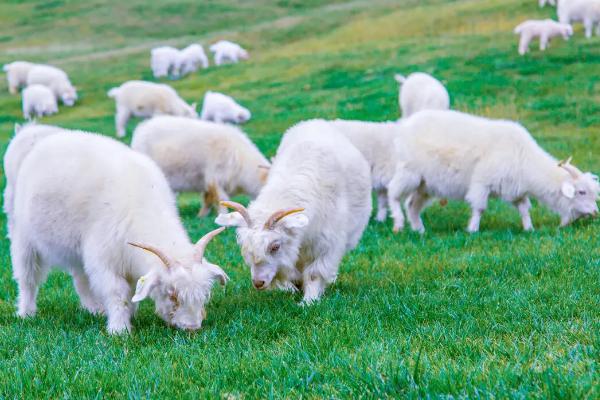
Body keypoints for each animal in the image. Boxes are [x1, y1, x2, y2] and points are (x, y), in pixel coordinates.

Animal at [10, 132, 229, 334]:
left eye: (204, 294)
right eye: (171, 294)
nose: (192, 327)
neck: (142, 208)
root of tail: (50, 138)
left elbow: (131, 294)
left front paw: (128, 315)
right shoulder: (104, 261)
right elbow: (118, 293)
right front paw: (119, 329)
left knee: (80, 279)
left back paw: (93, 309)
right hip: (24, 238)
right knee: (28, 278)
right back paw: (26, 313)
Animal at [134, 115, 272, 216]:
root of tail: (142, 128)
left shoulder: (207, 182)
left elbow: (207, 200)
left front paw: (201, 217)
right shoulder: (215, 178)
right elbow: (222, 200)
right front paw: (222, 217)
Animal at [213, 119, 372, 304]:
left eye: (275, 246)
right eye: (244, 246)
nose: (258, 282)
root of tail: (315, 122)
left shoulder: (326, 243)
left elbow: (315, 273)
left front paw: (309, 301)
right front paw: (295, 286)